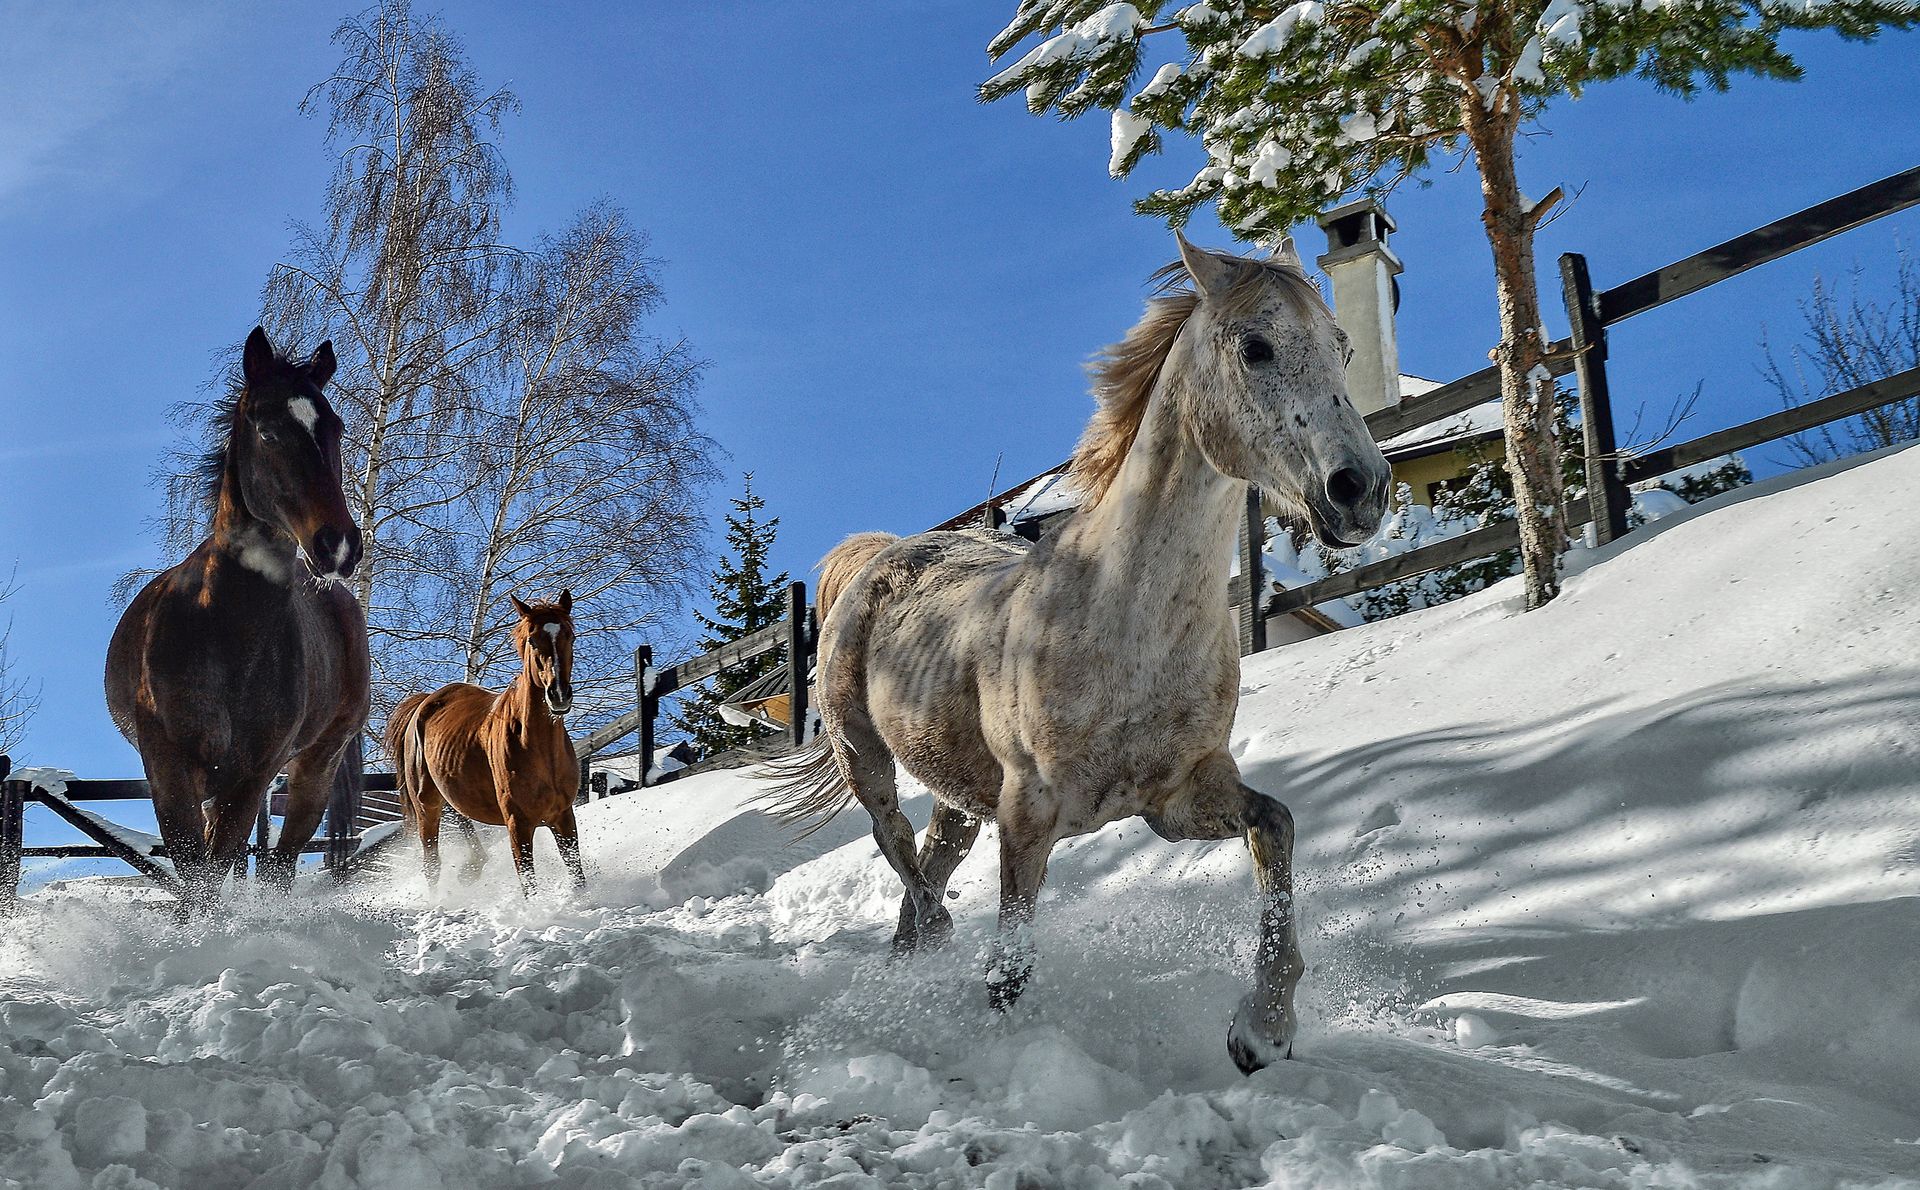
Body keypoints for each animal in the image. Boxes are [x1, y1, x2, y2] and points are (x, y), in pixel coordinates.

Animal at [106, 330, 370, 905]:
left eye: (334, 428)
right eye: (267, 431)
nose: (338, 544)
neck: (226, 632)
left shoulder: (253, 776)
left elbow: (215, 869)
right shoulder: (169, 766)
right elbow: (193, 873)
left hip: (314, 767)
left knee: (280, 864)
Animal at [378, 591, 579, 898]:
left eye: (570, 636)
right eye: (533, 640)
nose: (558, 695)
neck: (539, 750)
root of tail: (423, 703)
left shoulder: (563, 816)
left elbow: (578, 876)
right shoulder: (518, 823)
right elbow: (529, 885)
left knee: (459, 815)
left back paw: (473, 867)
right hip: (426, 804)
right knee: (431, 863)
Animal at [768, 237, 1397, 1074]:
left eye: (1343, 349)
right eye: (1255, 347)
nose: (1360, 490)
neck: (1122, 626)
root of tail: (879, 554)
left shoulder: (1178, 799)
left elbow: (1278, 824)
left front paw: (1262, 1031)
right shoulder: (1028, 815)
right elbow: (1009, 972)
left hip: (960, 796)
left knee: (925, 866)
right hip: (863, 753)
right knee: (896, 847)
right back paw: (930, 951)